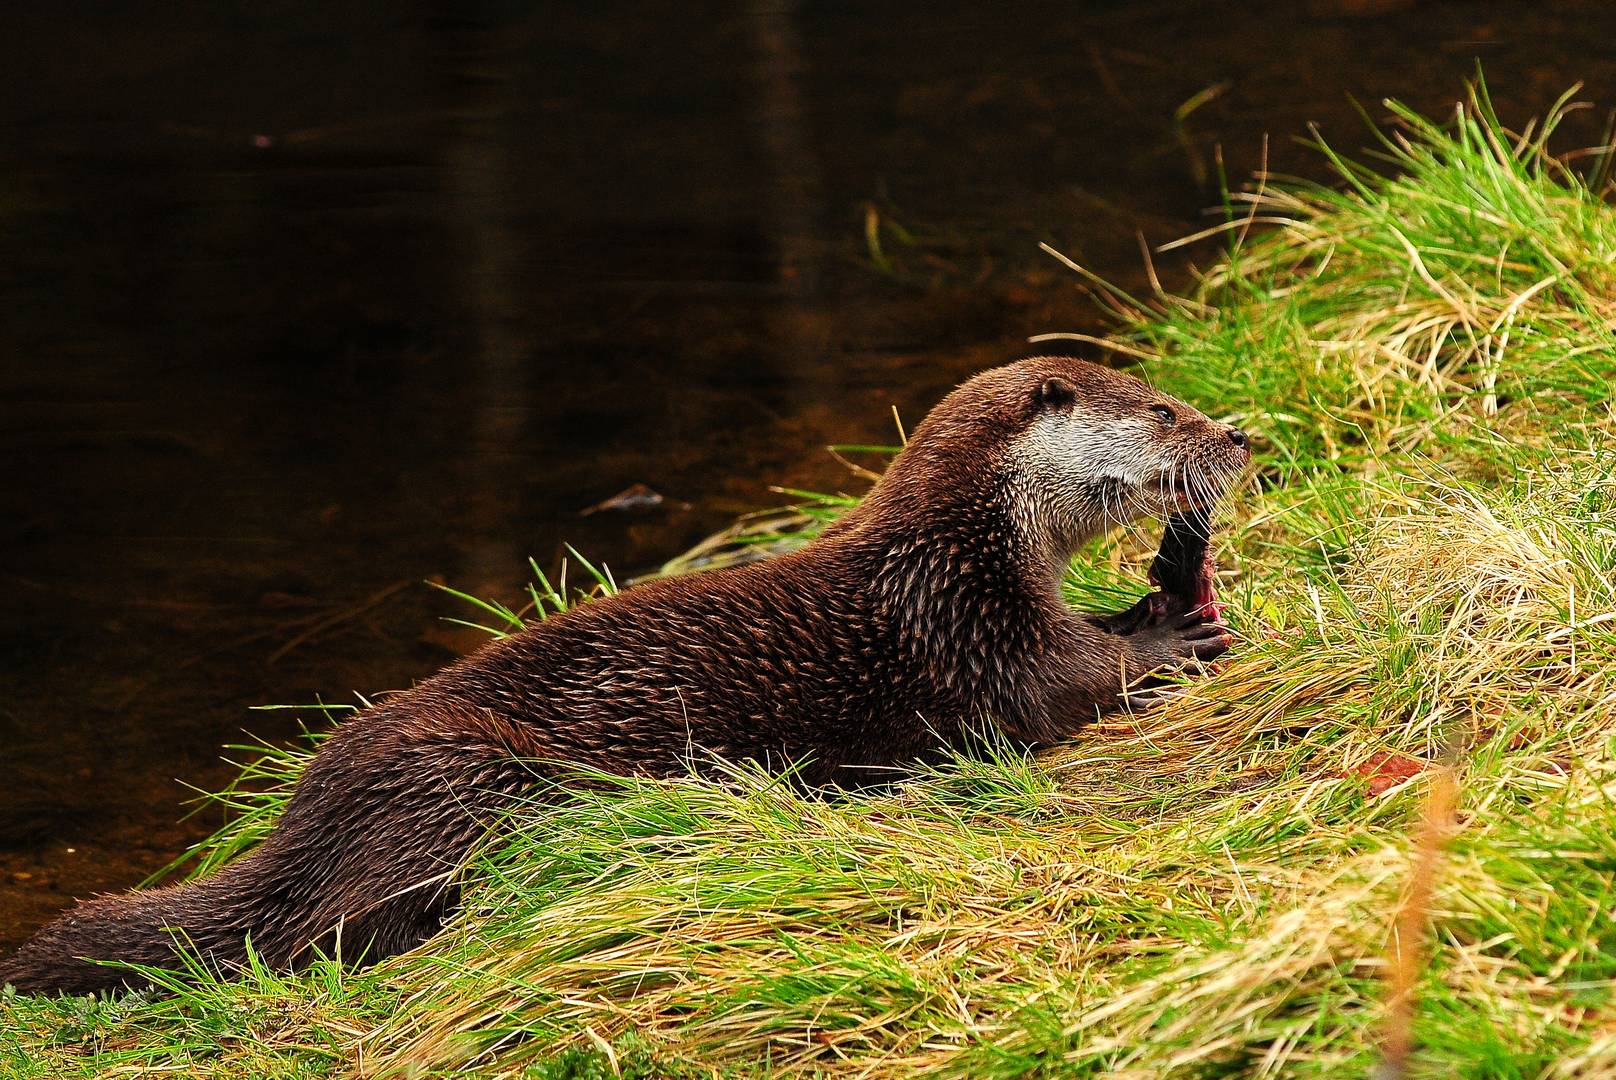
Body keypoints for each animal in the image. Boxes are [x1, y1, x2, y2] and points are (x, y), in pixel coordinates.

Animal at [0, 355, 1247, 995]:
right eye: (1163, 409)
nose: (1239, 434)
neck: (957, 547)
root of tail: (304, 815)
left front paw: (1154, 599)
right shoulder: (966, 632)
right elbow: (1056, 688)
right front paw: (1165, 641)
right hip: (466, 779)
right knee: (335, 931)